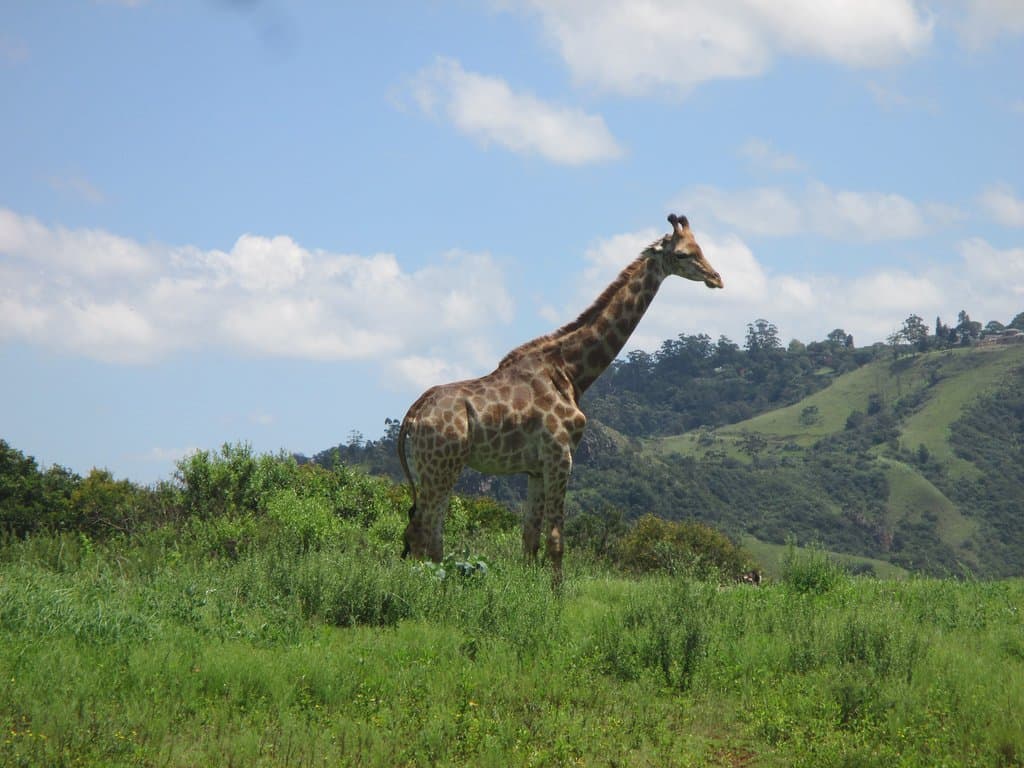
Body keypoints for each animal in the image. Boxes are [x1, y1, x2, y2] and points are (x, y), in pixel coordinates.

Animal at [398, 214, 723, 584]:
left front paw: (527, 590)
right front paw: (556, 596)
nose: (717, 278)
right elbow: (556, 540)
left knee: (428, 531)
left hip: (438, 466)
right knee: (420, 530)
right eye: (683, 254)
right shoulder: (561, 455)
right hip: (441, 464)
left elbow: (529, 539)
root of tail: (412, 415)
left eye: (701, 248)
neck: (570, 371)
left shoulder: (535, 469)